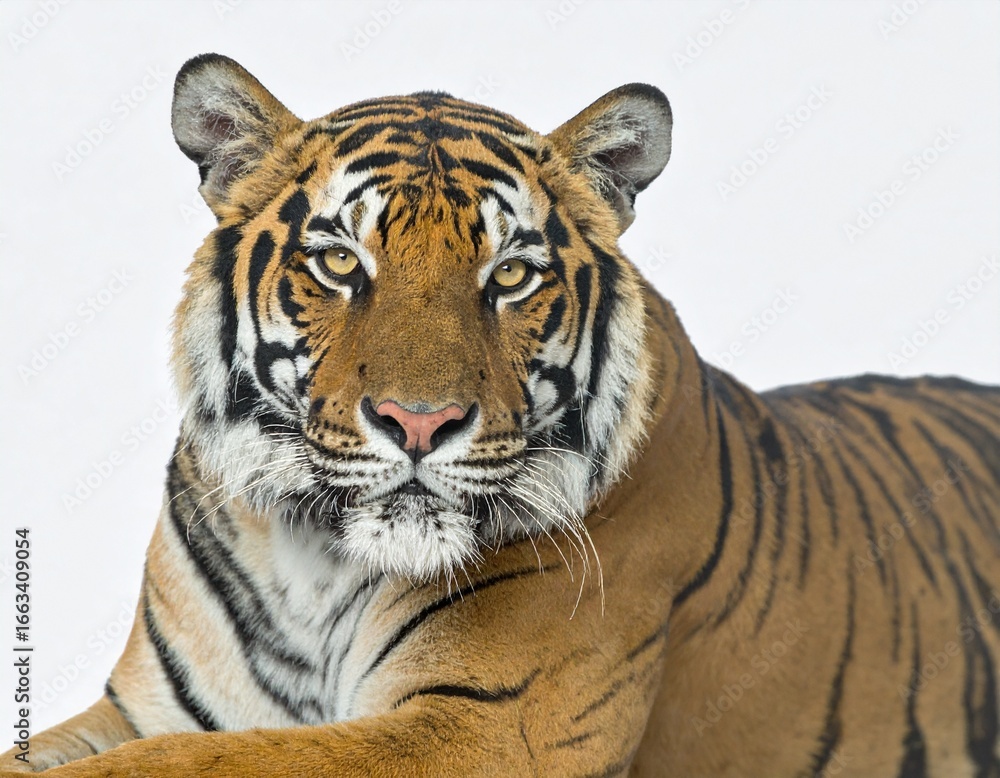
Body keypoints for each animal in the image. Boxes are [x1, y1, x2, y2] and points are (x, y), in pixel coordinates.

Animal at [3, 51, 999, 777]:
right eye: (340, 262)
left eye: (511, 274)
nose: (417, 421)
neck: (315, 565)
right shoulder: (146, 707)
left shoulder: (485, 726)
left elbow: (184, 765)